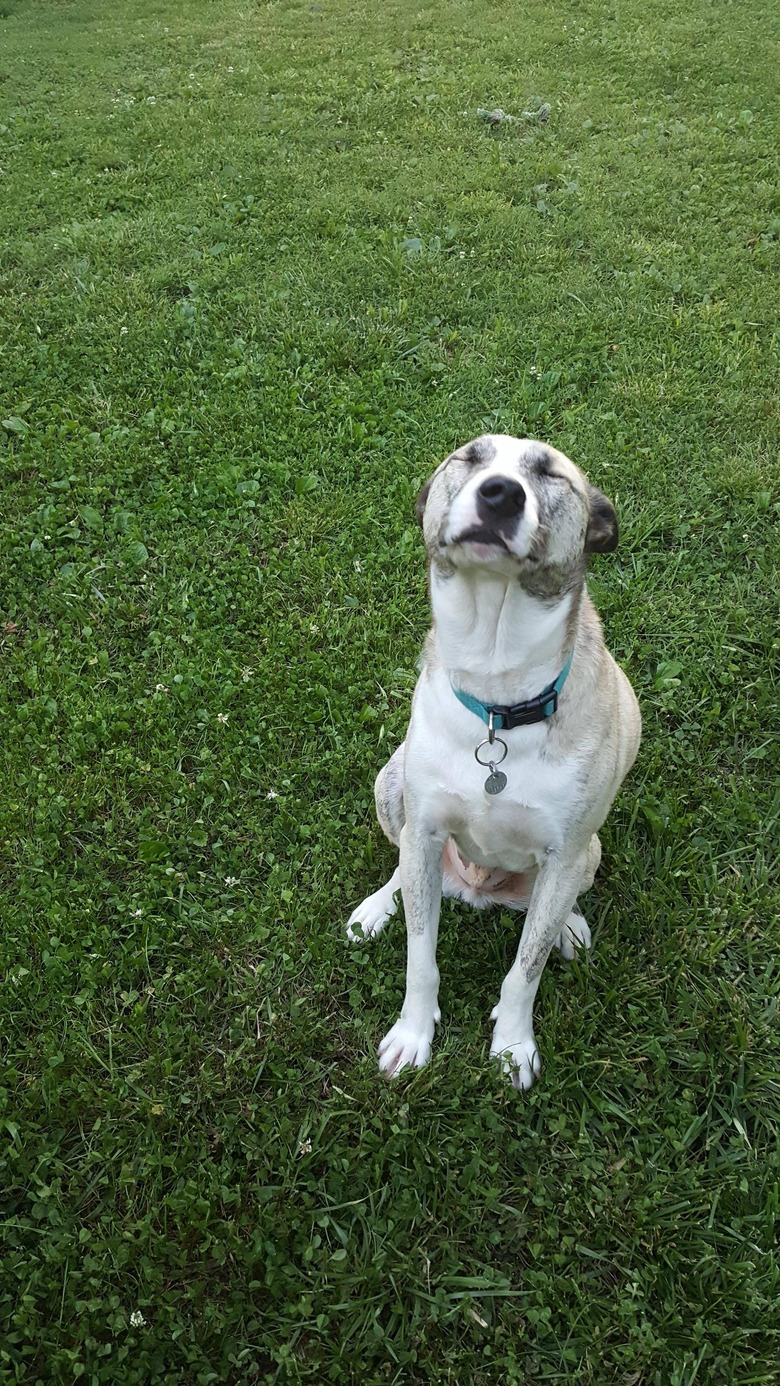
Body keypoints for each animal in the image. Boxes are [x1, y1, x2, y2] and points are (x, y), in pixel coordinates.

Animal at [347, 426, 640, 1086]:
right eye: (470, 458)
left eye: (552, 474)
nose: (500, 493)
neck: (497, 689)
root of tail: (478, 891)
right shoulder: (426, 827)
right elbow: (420, 957)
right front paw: (412, 1034)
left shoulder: (564, 852)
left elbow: (525, 969)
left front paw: (512, 1045)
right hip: (391, 783)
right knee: (403, 866)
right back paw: (376, 908)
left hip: (588, 854)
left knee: (552, 910)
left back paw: (570, 928)